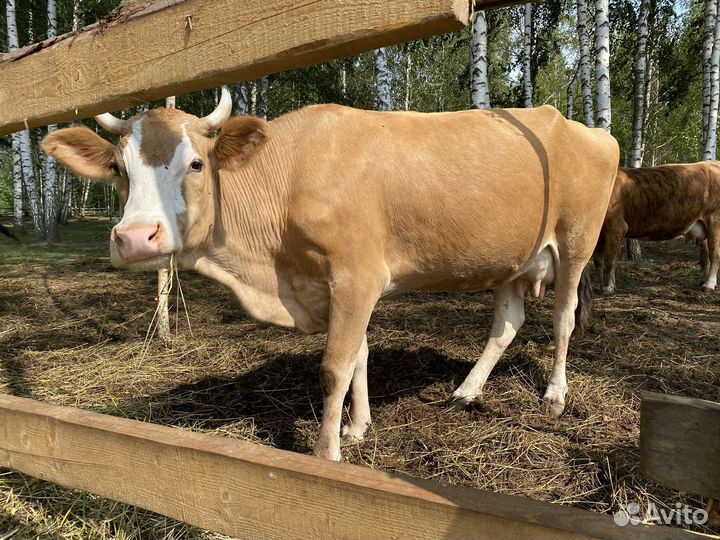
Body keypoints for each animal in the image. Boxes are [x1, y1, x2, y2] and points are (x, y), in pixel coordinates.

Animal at [42, 88, 619, 461]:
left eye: (196, 164)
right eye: (119, 169)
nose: (135, 237)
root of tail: (585, 127)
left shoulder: (356, 276)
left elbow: (334, 366)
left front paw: (328, 452)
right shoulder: (337, 287)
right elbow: (359, 354)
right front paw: (358, 426)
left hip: (576, 240)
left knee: (565, 316)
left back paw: (555, 395)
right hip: (511, 257)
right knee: (508, 322)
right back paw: (467, 391)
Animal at [593, 163, 720, 295]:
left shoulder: (616, 227)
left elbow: (610, 260)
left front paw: (608, 287)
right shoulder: (598, 233)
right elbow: (598, 260)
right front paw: (597, 285)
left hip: (715, 220)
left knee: (715, 254)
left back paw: (709, 284)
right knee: (706, 255)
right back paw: (704, 280)